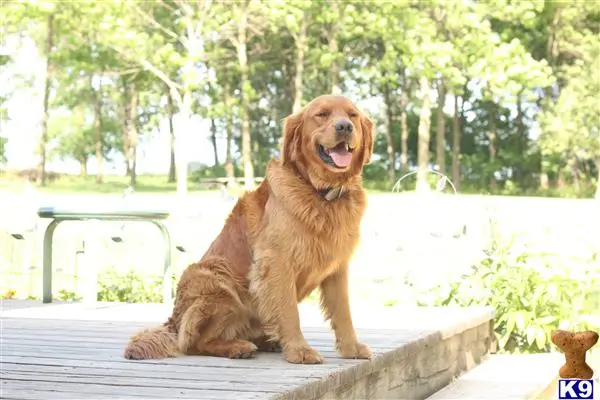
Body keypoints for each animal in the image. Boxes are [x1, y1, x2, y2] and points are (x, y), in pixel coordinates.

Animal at [124, 95, 372, 364]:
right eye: (322, 114)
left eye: (352, 115)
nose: (344, 127)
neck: (321, 192)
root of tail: (173, 321)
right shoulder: (276, 262)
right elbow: (289, 311)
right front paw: (299, 350)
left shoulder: (337, 267)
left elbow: (343, 312)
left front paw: (351, 348)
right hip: (214, 278)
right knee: (193, 343)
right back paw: (237, 347)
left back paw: (266, 341)